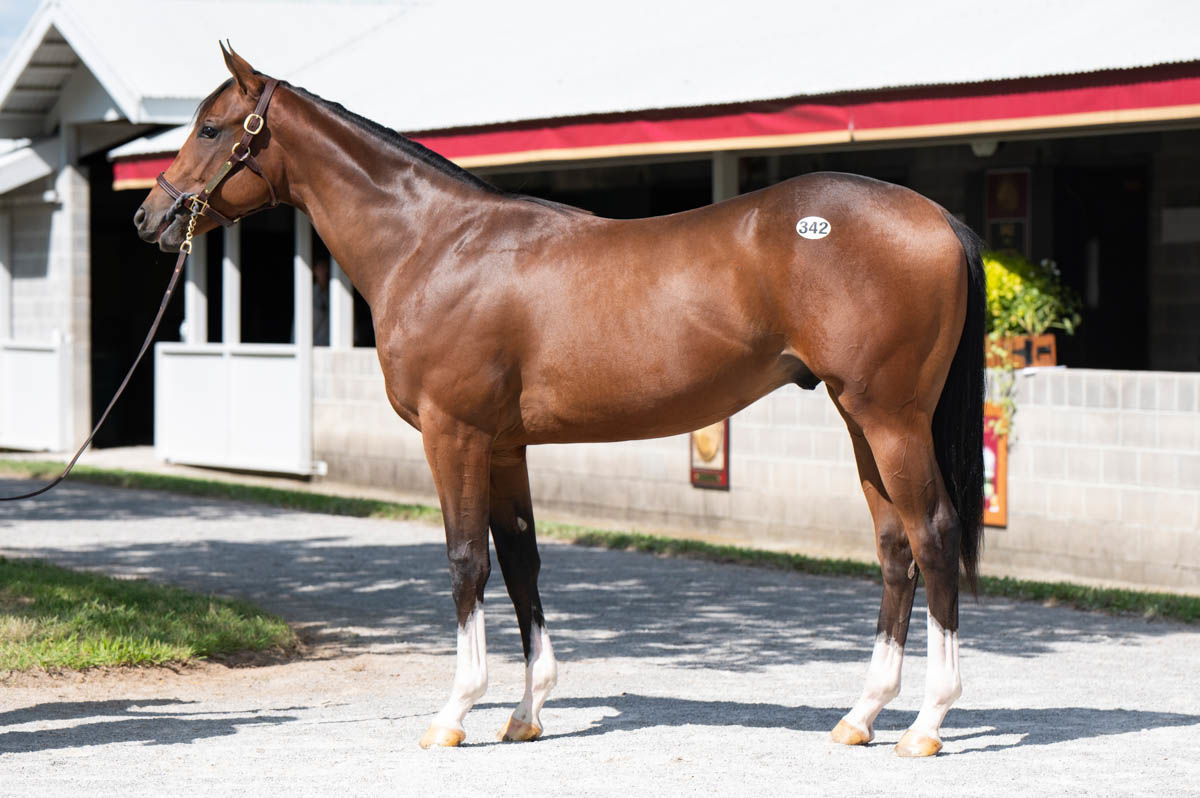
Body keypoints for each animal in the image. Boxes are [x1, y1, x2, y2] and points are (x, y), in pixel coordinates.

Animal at [136, 46, 984, 758]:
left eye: (211, 127)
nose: (151, 217)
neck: (435, 244)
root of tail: (939, 217)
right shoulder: (505, 445)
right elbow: (521, 563)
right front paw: (525, 712)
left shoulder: (454, 435)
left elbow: (466, 561)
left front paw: (454, 713)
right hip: (859, 420)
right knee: (896, 549)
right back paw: (862, 715)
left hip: (891, 420)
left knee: (934, 536)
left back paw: (928, 723)